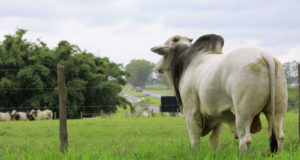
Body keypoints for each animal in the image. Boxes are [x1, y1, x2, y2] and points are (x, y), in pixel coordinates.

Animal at [151, 34, 288, 153]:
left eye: (165, 47)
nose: (156, 66)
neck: (186, 63)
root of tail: (265, 55)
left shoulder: (191, 112)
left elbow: (195, 141)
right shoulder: (218, 115)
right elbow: (214, 141)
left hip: (243, 113)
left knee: (245, 140)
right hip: (277, 111)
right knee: (278, 136)